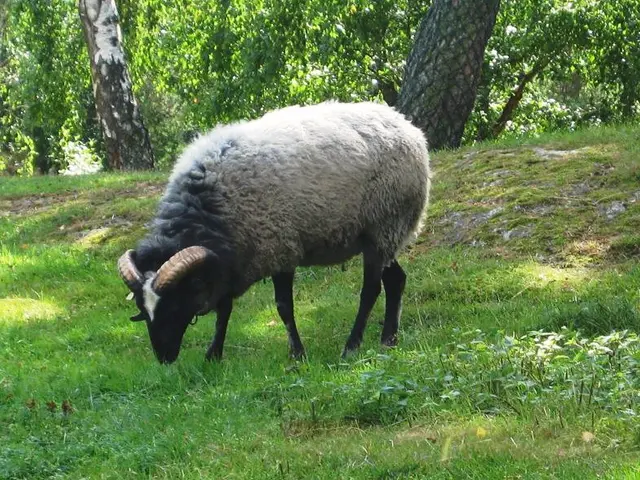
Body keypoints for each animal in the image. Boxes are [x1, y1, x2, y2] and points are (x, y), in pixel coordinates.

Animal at [117, 100, 431, 364]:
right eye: (143, 311)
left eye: (173, 306)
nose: (163, 358)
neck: (212, 207)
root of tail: (408, 126)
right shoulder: (229, 263)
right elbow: (224, 310)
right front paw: (214, 355)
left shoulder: (280, 248)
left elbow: (283, 307)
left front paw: (297, 354)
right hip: (383, 236)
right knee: (395, 280)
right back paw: (388, 339)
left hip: (384, 225)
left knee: (371, 290)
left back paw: (351, 346)